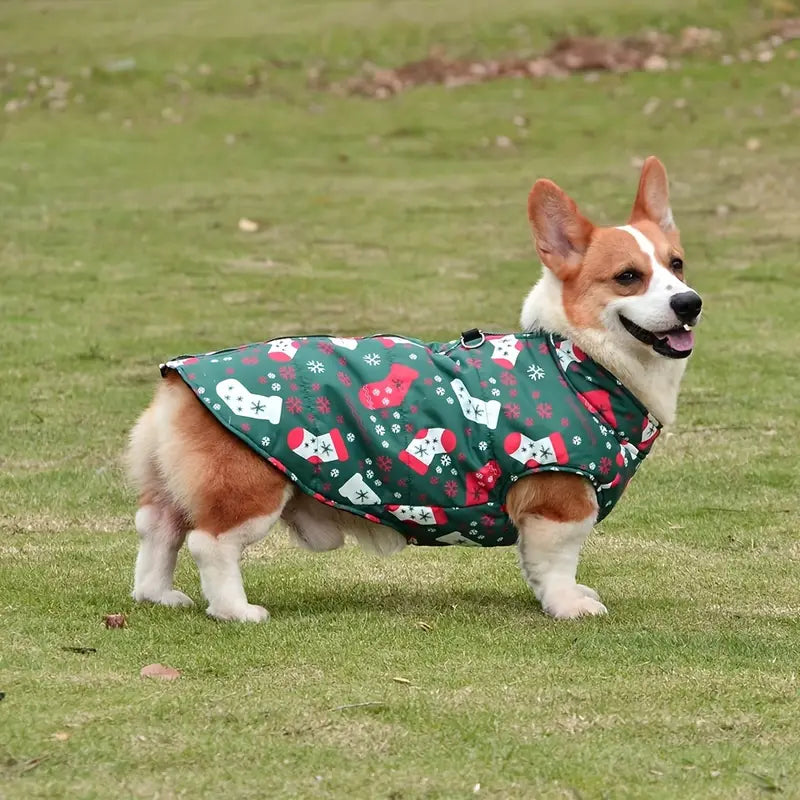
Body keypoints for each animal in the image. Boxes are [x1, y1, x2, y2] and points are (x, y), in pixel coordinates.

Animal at [123, 155, 700, 620]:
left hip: (175, 485)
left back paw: (158, 595)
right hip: (249, 488)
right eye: (628, 277)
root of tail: (178, 378)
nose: (689, 302)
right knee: (209, 543)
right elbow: (558, 563)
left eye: (676, 265)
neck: (576, 360)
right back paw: (235, 611)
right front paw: (567, 606)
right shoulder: (558, 501)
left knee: (158, 527)